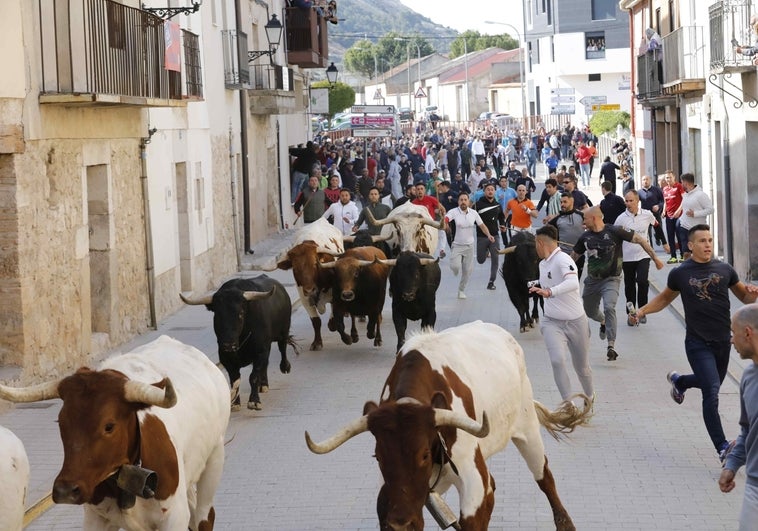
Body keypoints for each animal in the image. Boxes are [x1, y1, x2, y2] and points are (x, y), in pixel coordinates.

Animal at [0, 336, 230, 531]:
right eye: (61, 422)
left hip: (215, 458)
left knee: (203, 516)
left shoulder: (173, 518)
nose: (66, 491)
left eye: (109, 426)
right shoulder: (95, 519)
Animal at [180, 274, 298, 412]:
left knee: (282, 347)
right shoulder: (226, 358)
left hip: (283, 331)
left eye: (241, 314)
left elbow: (253, 376)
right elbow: (234, 379)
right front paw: (235, 403)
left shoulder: (260, 351)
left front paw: (254, 401)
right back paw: (263, 385)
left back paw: (284, 367)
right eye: (217, 315)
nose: (228, 345)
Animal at [272, 218, 346, 352]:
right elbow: (316, 321)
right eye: (295, 268)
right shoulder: (304, 298)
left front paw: (333, 324)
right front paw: (317, 343)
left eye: (315, 265)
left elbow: (334, 318)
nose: (309, 290)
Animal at [306, 320, 592, 531]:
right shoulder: (392, 492)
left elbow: (474, 517)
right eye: (378, 456)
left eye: (423, 454)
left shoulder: (472, 476)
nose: (401, 524)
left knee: (544, 476)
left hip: (527, 427)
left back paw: (565, 522)